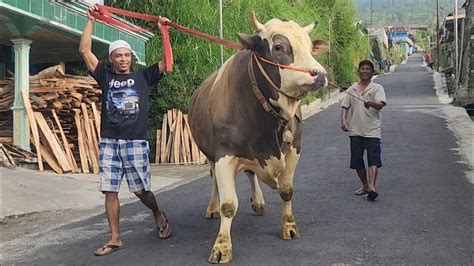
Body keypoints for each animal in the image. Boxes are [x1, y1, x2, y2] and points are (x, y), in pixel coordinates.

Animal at [187, 13, 328, 264]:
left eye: (311, 46)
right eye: (279, 46)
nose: (320, 74)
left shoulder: (295, 149)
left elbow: (286, 190)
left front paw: (289, 226)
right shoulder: (223, 155)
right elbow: (229, 204)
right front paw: (222, 246)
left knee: (251, 173)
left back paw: (259, 201)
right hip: (210, 155)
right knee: (214, 180)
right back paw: (212, 207)